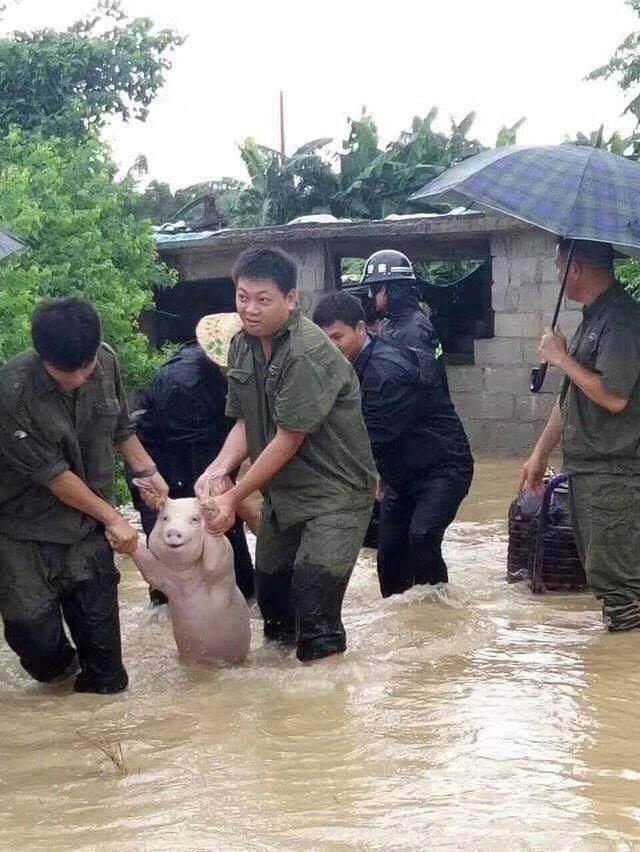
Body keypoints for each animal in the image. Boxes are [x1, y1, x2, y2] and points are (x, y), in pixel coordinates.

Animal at [130, 497, 251, 665]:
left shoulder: (223, 570)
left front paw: (208, 507)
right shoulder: (165, 578)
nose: (173, 531)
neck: (186, 577)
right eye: (165, 518)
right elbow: (150, 568)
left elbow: (215, 562)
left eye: (194, 519)